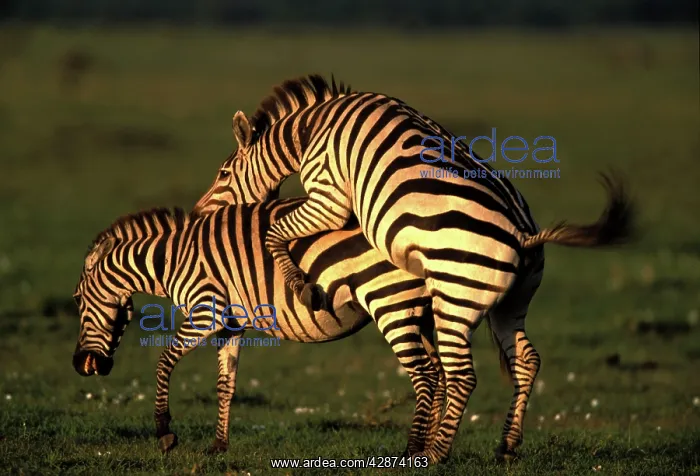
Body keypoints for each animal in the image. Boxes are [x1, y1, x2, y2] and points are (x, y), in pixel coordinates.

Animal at [73, 197, 449, 460]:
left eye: (76, 299)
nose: (80, 365)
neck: (172, 259)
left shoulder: (207, 311)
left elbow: (165, 360)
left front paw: (165, 433)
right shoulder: (230, 324)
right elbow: (225, 384)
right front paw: (218, 446)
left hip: (391, 303)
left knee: (424, 375)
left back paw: (411, 452)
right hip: (422, 314)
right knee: (441, 374)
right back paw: (430, 451)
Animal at [191, 74, 637, 463]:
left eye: (223, 173)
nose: (197, 214)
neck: (313, 129)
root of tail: (525, 235)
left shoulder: (329, 195)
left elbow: (275, 233)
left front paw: (301, 285)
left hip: (455, 297)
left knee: (461, 375)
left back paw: (435, 453)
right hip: (512, 303)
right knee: (525, 360)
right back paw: (506, 446)